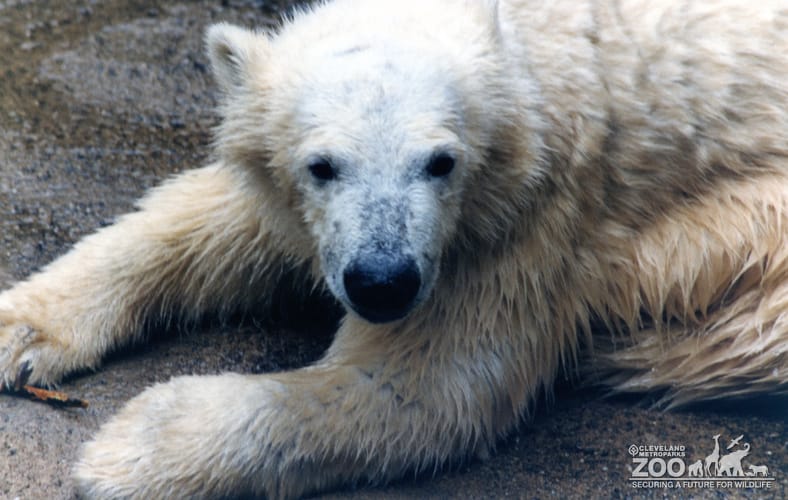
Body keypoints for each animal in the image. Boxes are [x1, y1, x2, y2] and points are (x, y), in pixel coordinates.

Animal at [0, 0, 786, 497]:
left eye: (441, 161)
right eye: (322, 165)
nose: (382, 281)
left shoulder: (530, 218)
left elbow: (424, 388)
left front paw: (128, 448)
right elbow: (205, 223)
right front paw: (21, 331)